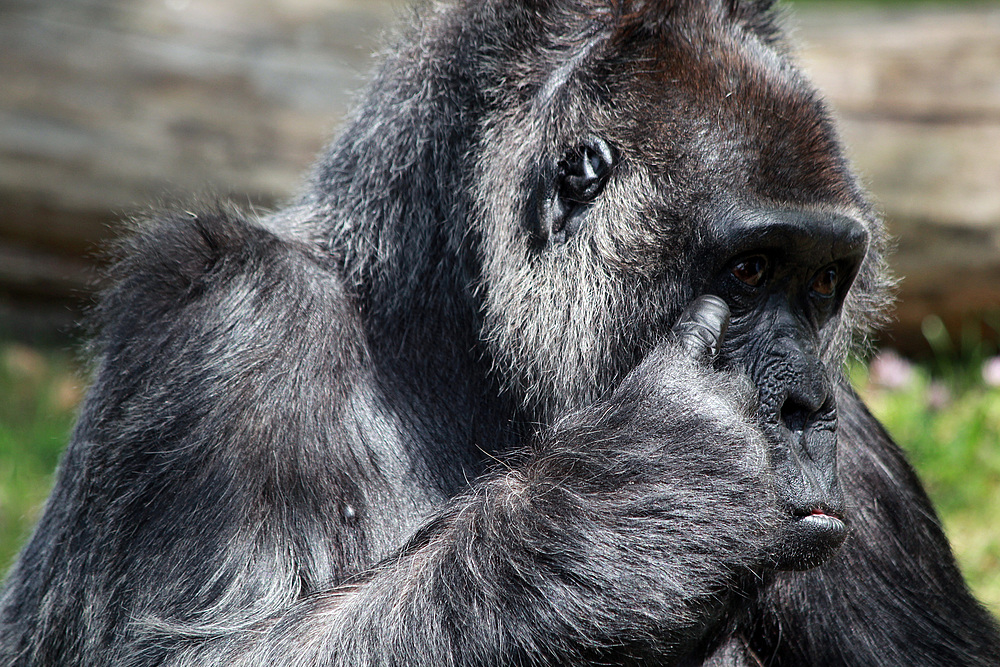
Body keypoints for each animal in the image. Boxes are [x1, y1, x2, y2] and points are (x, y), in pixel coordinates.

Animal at [1, 0, 1000, 664]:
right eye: (752, 271)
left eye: (824, 281)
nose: (801, 401)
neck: (441, 323)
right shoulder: (224, 318)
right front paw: (635, 496)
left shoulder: (865, 466)